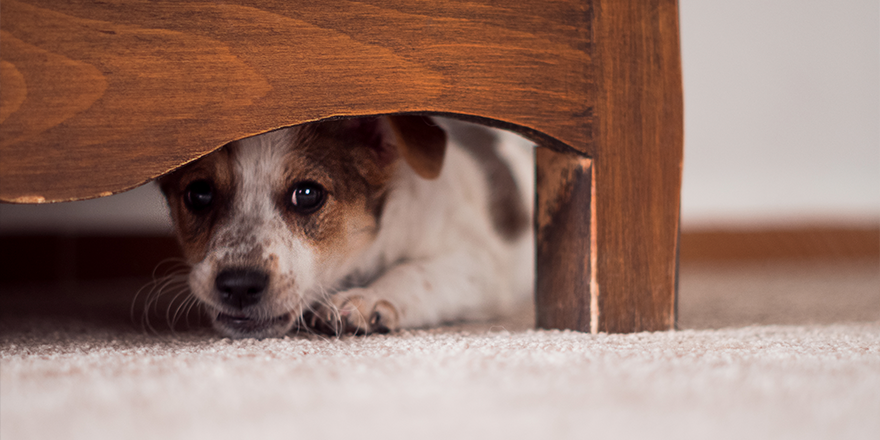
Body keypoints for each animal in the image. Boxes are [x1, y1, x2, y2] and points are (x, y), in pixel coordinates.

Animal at [161, 115, 532, 338]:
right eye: (199, 193)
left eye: (308, 194)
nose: (239, 285)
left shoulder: (479, 264)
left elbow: (417, 271)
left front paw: (368, 297)